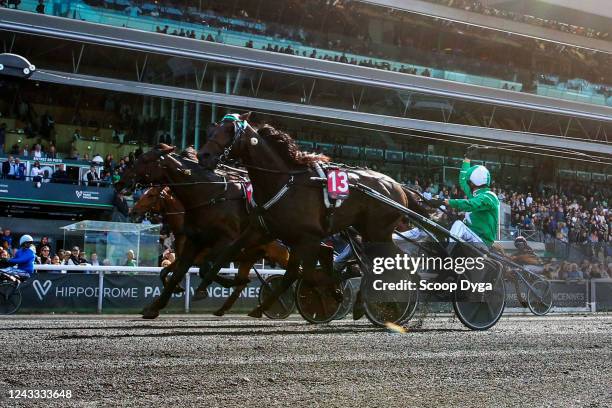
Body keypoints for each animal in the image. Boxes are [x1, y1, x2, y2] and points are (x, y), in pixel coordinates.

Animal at [130, 186, 292, 318]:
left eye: (150, 195)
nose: (133, 211)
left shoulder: (198, 257)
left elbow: (202, 271)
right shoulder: (183, 257)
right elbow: (165, 272)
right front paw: (175, 290)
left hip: (280, 255)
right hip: (248, 259)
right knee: (242, 284)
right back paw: (225, 308)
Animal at [198, 111, 428, 318]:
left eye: (230, 130)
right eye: (212, 128)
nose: (203, 156)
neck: (283, 182)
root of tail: (397, 185)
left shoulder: (306, 238)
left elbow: (302, 274)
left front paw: (335, 290)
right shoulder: (262, 230)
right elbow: (227, 253)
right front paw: (204, 287)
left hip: (378, 232)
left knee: (395, 263)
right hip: (369, 233)